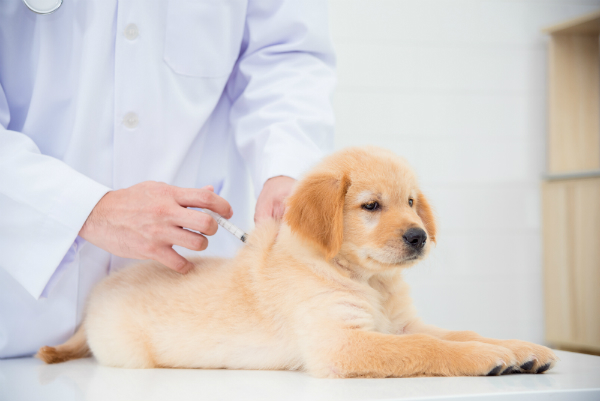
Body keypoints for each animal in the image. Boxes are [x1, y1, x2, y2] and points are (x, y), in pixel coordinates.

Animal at [35, 146, 556, 376]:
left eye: (411, 202)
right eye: (371, 206)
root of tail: (95, 299)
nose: (419, 236)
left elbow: (458, 332)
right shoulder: (342, 344)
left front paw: (518, 346)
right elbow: (430, 349)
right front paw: (486, 357)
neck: (369, 281)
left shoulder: (403, 323)